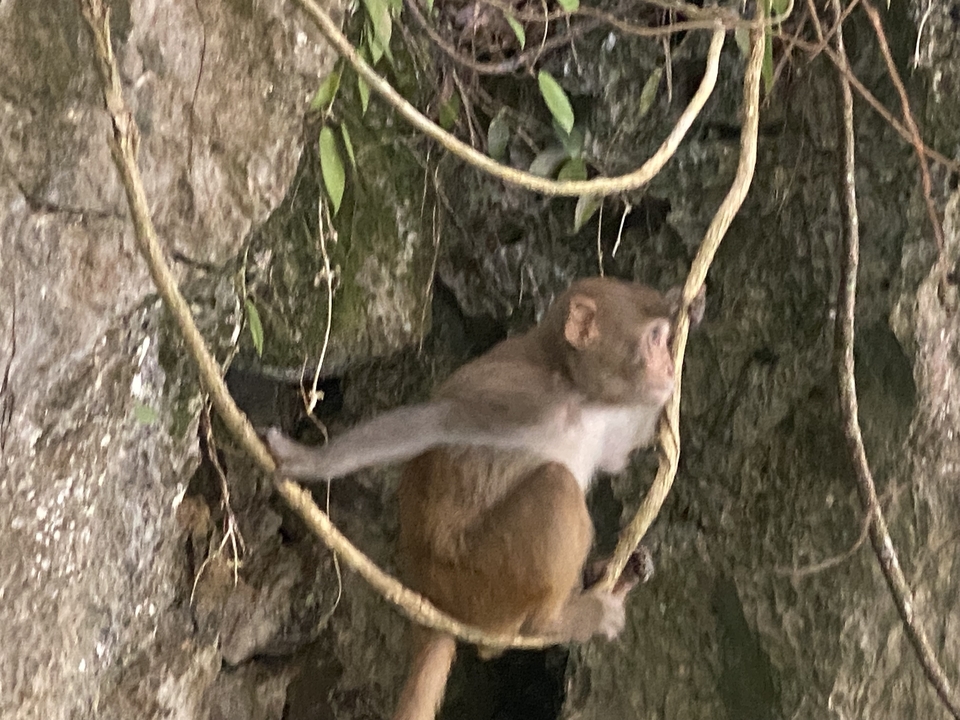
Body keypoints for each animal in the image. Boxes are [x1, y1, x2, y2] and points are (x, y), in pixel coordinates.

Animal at [266, 276, 705, 720]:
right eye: (654, 339)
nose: (668, 368)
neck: (574, 390)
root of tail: (432, 596)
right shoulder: (521, 396)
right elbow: (438, 421)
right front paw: (310, 461)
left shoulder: (606, 417)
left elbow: (624, 448)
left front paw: (688, 307)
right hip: (477, 580)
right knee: (555, 487)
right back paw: (550, 623)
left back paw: (614, 579)